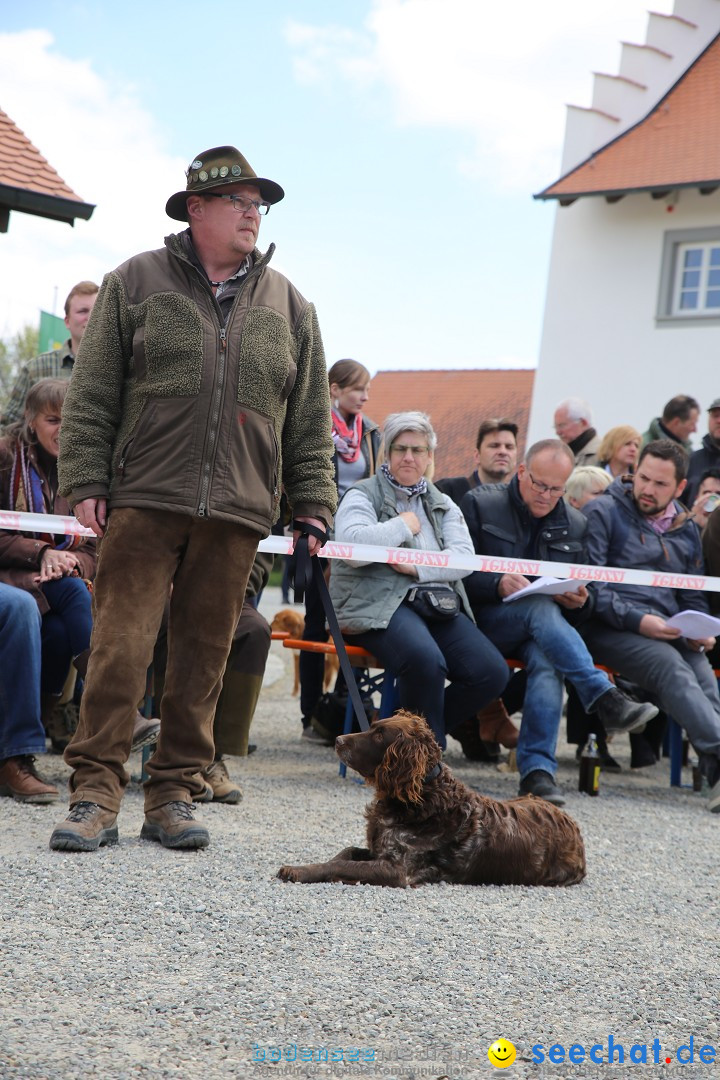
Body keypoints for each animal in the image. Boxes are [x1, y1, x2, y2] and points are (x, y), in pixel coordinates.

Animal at [278, 708, 587, 885]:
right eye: (371, 727)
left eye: (379, 736)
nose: (339, 740)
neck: (420, 799)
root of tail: (575, 827)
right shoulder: (379, 850)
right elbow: (344, 853)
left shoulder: (398, 869)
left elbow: (342, 864)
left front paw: (299, 871)